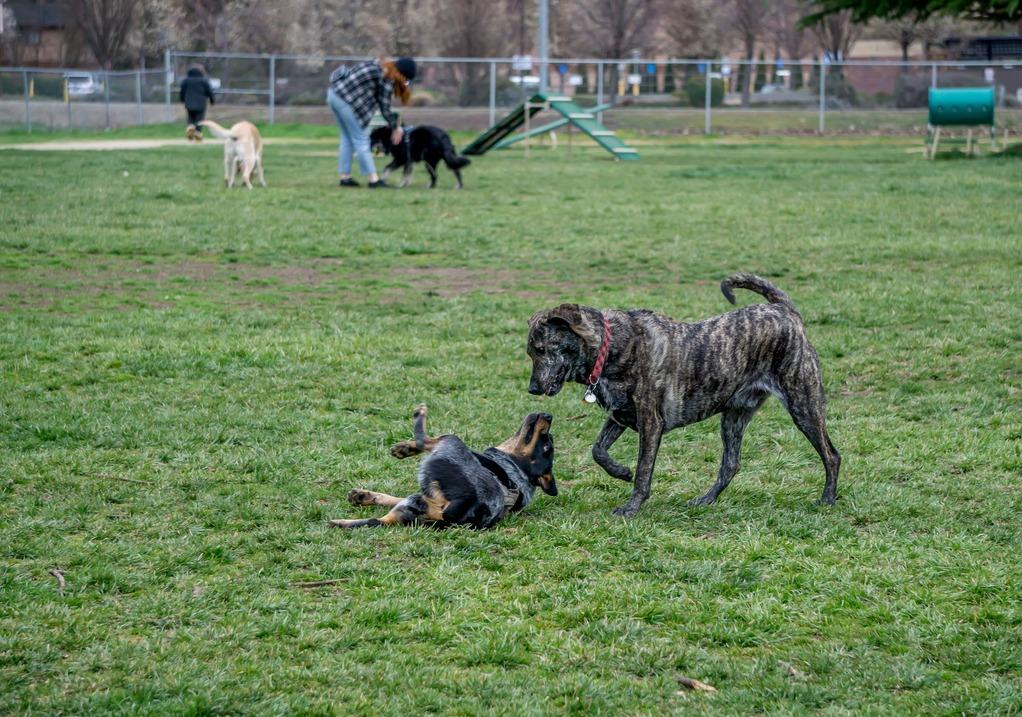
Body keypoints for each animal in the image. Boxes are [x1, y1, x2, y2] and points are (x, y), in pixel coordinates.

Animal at [329, 406, 555, 531]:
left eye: (546, 444)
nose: (549, 415)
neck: (511, 469)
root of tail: (469, 504)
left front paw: (407, 447)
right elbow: (391, 498)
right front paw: (363, 496)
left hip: (450, 443)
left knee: (427, 438)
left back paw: (420, 414)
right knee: (376, 521)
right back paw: (340, 522)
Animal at [527, 273, 838, 516]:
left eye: (541, 349)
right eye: (530, 353)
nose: (532, 389)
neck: (610, 345)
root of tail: (785, 311)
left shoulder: (650, 423)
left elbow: (643, 473)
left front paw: (631, 507)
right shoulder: (620, 415)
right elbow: (598, 450)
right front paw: (621, 471)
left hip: (803, 405)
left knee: (832, 456)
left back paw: (827, 499)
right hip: (733, 418)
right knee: (730, 464)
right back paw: (705, 500)